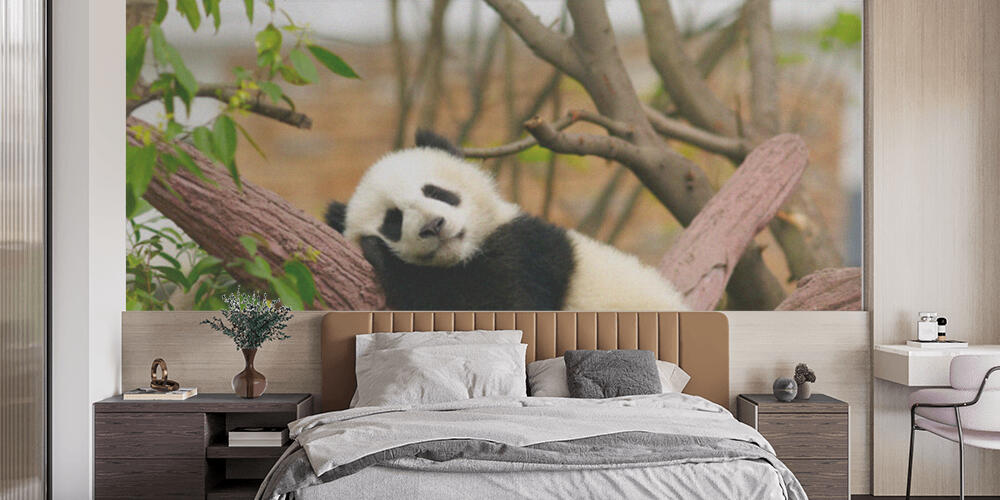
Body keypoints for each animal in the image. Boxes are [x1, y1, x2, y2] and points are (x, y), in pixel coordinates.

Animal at [324, 130, 689, 311]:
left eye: (436, 191)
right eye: (393, 220)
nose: (433, 226)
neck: (465, 256)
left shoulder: (525, 252)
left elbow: (495, 306)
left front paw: (382, 256)